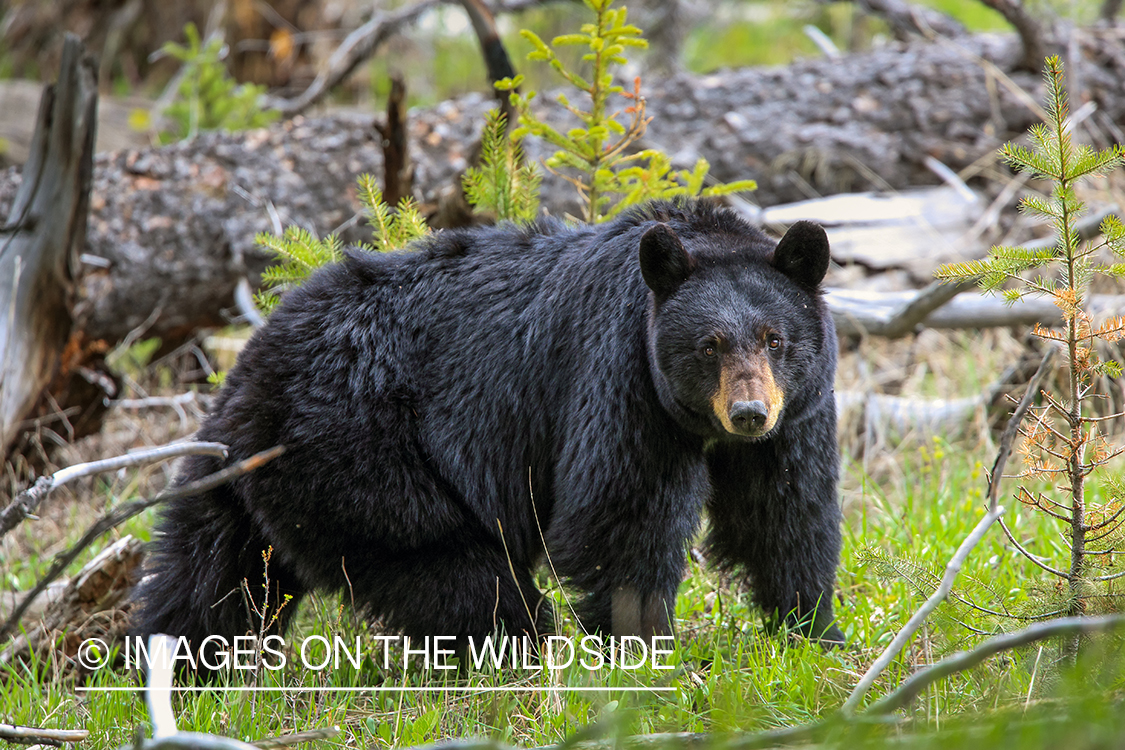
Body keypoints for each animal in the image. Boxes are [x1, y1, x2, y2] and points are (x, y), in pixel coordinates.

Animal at [129, 199, 846, 670]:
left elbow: (783, 513)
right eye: (709, 344)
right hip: (358, 449)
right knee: (452, 568)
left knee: (207, 575)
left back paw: (172, 669)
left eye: (774, 338)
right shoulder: (619, 378)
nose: (749, 412)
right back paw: (523, 651)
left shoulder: (798, 413)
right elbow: (619, 518)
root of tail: (249, 367)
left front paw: (814, 631)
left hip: (240, 482)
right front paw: (645, 648)